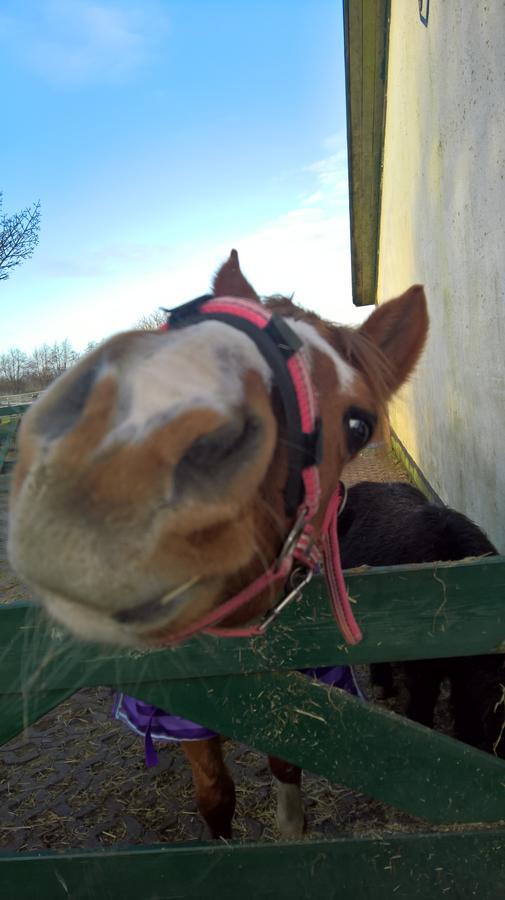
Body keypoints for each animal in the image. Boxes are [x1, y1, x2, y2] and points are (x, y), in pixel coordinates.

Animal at [6, 251, 426, 836]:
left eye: (358, 425)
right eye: (182, 321)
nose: (119, 460)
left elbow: (286, 769)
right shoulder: (188, 712)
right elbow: (215, 796)